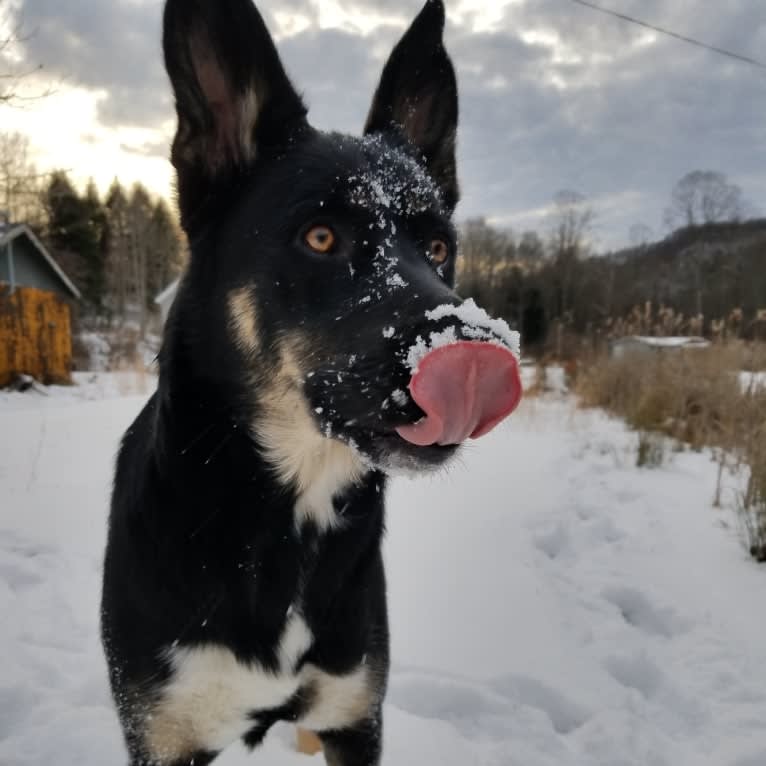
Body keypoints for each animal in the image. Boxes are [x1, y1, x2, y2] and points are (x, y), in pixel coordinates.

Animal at [102, 0, 520, 764]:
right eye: (321, 237)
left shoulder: (356, 715)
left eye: (439, 248)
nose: (478, 357)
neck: (283, 517)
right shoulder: (163, 733)